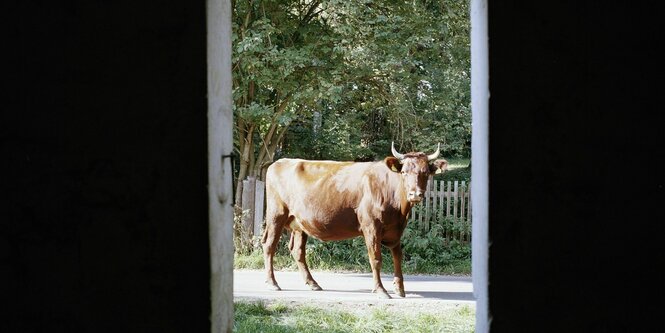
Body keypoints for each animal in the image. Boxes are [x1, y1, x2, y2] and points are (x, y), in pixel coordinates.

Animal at [260, 141, 446, 296]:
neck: (399, 210)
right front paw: (380, 290)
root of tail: (280, 162)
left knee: (297, 250)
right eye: (404, 172)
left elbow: (397, 257)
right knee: (269, 245)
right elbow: (376, 258)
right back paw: (272, 283)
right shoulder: (371, 226)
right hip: (276, 214)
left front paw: (399, 289)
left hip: (299, 223)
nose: (415, 194)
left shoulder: (395, 230)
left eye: (425, 173)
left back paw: (312, 283)